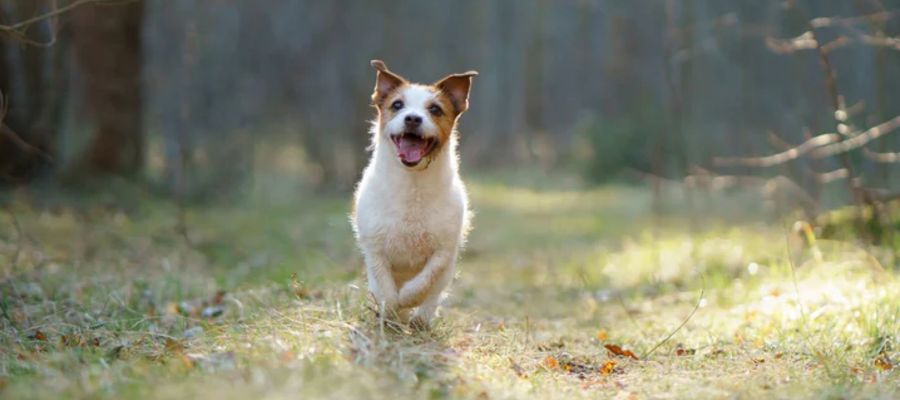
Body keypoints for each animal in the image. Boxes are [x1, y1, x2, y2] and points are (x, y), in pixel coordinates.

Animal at [350, 60, 478, 328]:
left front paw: (408, 298)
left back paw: (420, 320)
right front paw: (392, 308)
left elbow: (425, 281)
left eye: (435, 109)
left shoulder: (443, 250)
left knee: (433, 296)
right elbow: (386, 287)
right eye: (397, 105)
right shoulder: (375, 248)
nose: (412, 118)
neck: (412, 184)